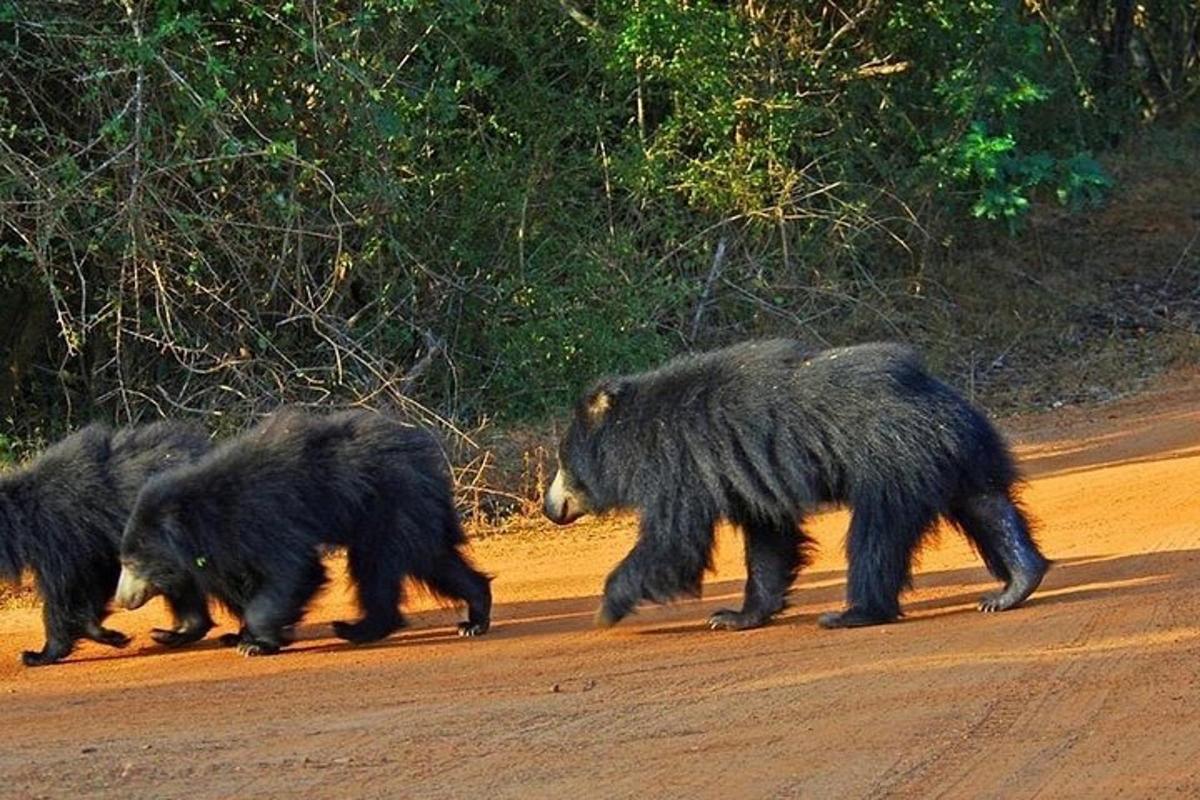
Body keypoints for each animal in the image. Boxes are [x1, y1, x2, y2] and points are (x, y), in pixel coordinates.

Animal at [0, 422, 213, 666]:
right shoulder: (95, 546)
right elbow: (96, 581)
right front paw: (109, 635)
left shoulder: (63, 537)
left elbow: (64, 591)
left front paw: (37, 655)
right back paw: (175, 633)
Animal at [112, 407, 487, 657]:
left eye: (132, 564)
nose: (121, 600)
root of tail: (426, 458)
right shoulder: (230, 546)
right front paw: (232, 636)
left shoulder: (265, 520)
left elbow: (295, 572)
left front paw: (255, 644)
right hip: (405, 510)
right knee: (433, 559)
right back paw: (472, 616)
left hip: (391, 505)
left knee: (378, 567)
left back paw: (358, 628)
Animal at [540, 340, 1046, 633]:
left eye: (564, 465)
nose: (549, 507)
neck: (636, 429)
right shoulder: (742, 476)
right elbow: (769, 539)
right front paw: (733, 617)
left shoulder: (679, 466)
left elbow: (674, 543)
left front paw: (606, 608)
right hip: (956, 455)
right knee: (987, 505)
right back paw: (1014, 585)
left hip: (892, 462)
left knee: (876, 536)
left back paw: (852, 614)